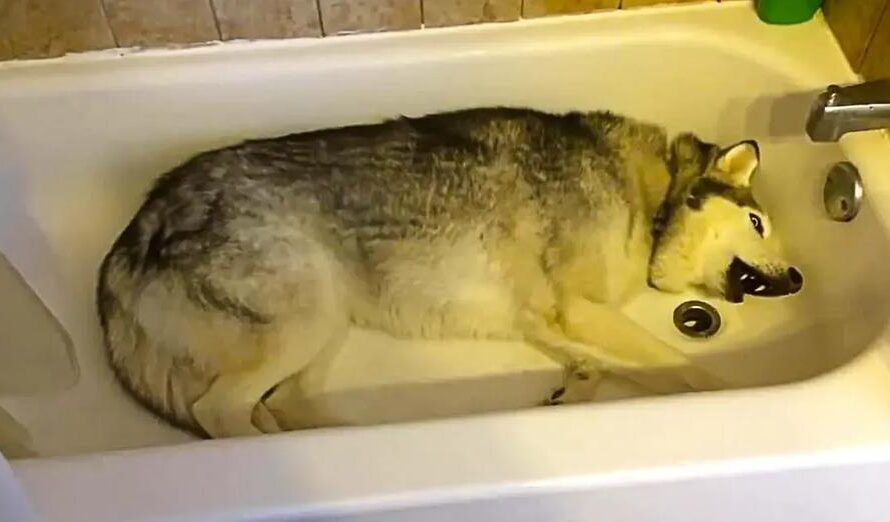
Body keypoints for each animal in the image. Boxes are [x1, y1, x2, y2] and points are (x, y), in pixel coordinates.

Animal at [97, 107, 796, 436]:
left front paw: (572, 391)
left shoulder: (548, 320)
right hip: (305, 319)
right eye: (759, 223)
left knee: (281, 407)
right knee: (219, 412)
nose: (796, 281)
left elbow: (601, 366)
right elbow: (688, 370)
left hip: (324, 328)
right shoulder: (577, 309)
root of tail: (138, 227)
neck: (650, 200)